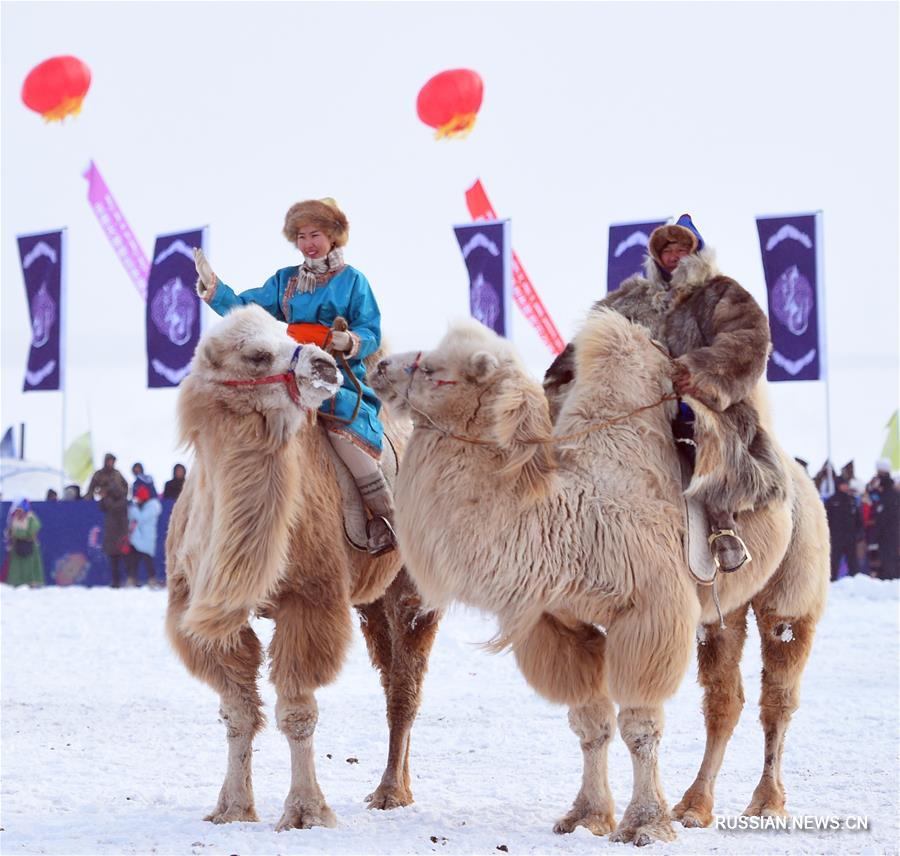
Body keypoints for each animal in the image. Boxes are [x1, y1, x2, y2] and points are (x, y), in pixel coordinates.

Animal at [166, 306, 442, 828]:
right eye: (256, 354)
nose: (326, 366)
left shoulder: (309, 600)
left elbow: (297, 711)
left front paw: (306, 812)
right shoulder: (204, 614)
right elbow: (237, 711)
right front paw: (232, 808)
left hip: (413, 586)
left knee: (406, 684)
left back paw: (390, 792)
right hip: (370, 600)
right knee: (390, 672)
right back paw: (400, 788)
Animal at [372, 310, 828, 844]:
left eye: (436, 372)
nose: (379, 367)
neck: (569, 521)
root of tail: (799, 477)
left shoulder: (651, 613)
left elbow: (640, 726)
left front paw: (644, 824)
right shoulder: (562, 622)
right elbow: (590, 724)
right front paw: (586, 816)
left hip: (793, 590)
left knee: (777, 696)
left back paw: (765, 804)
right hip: (723, 614)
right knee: (724, 700)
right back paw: (694, 807)